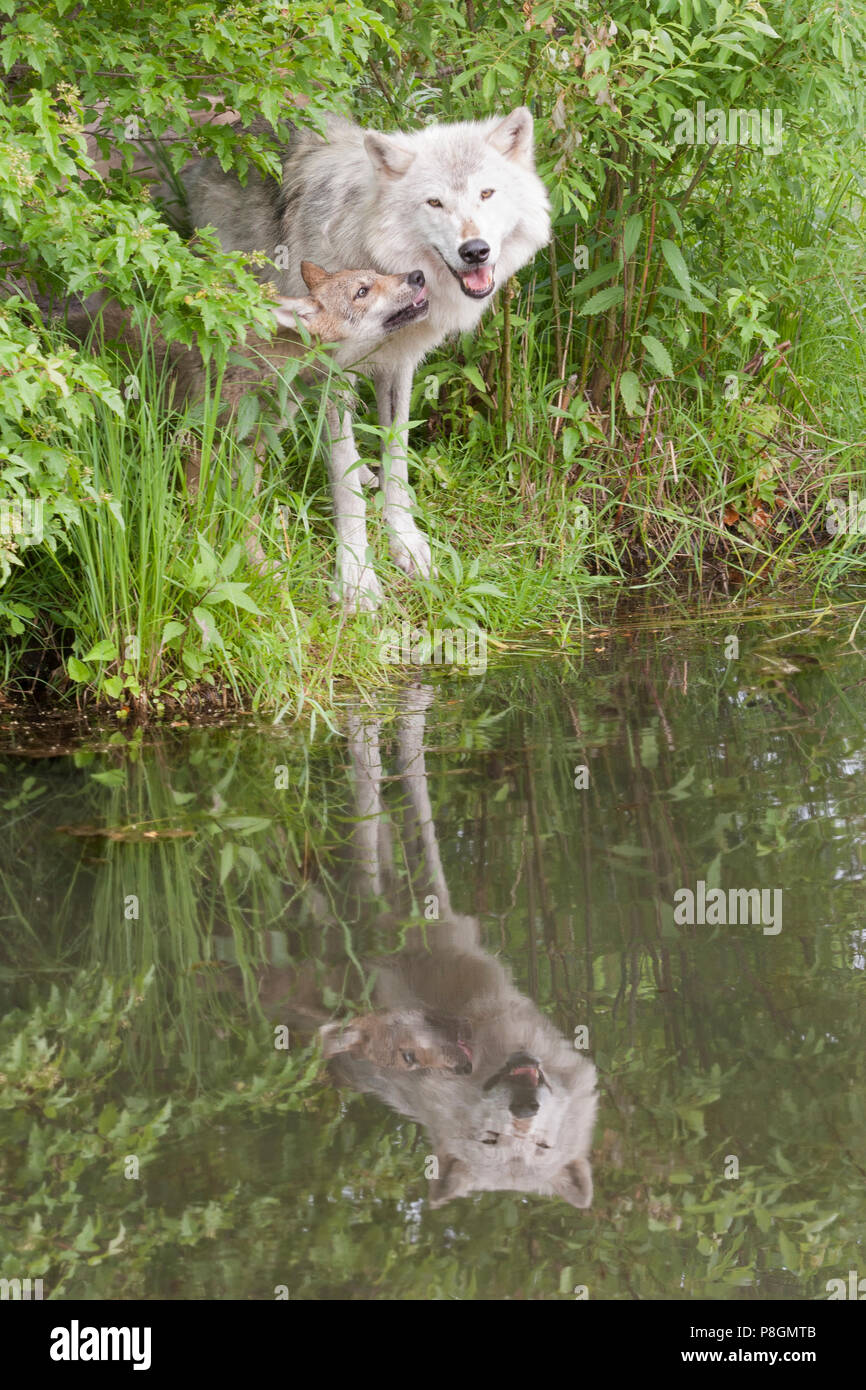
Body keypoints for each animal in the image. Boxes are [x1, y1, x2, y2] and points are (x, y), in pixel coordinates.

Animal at [183, 108, 553, 608]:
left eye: (486, 193)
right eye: (434, 203)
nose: (474, 250)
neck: (373, 253)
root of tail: (226, 117)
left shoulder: (398, 366)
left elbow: (396, 459)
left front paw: (408, 546)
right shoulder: (333, 372)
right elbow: (343, 476)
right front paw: (357, 577)